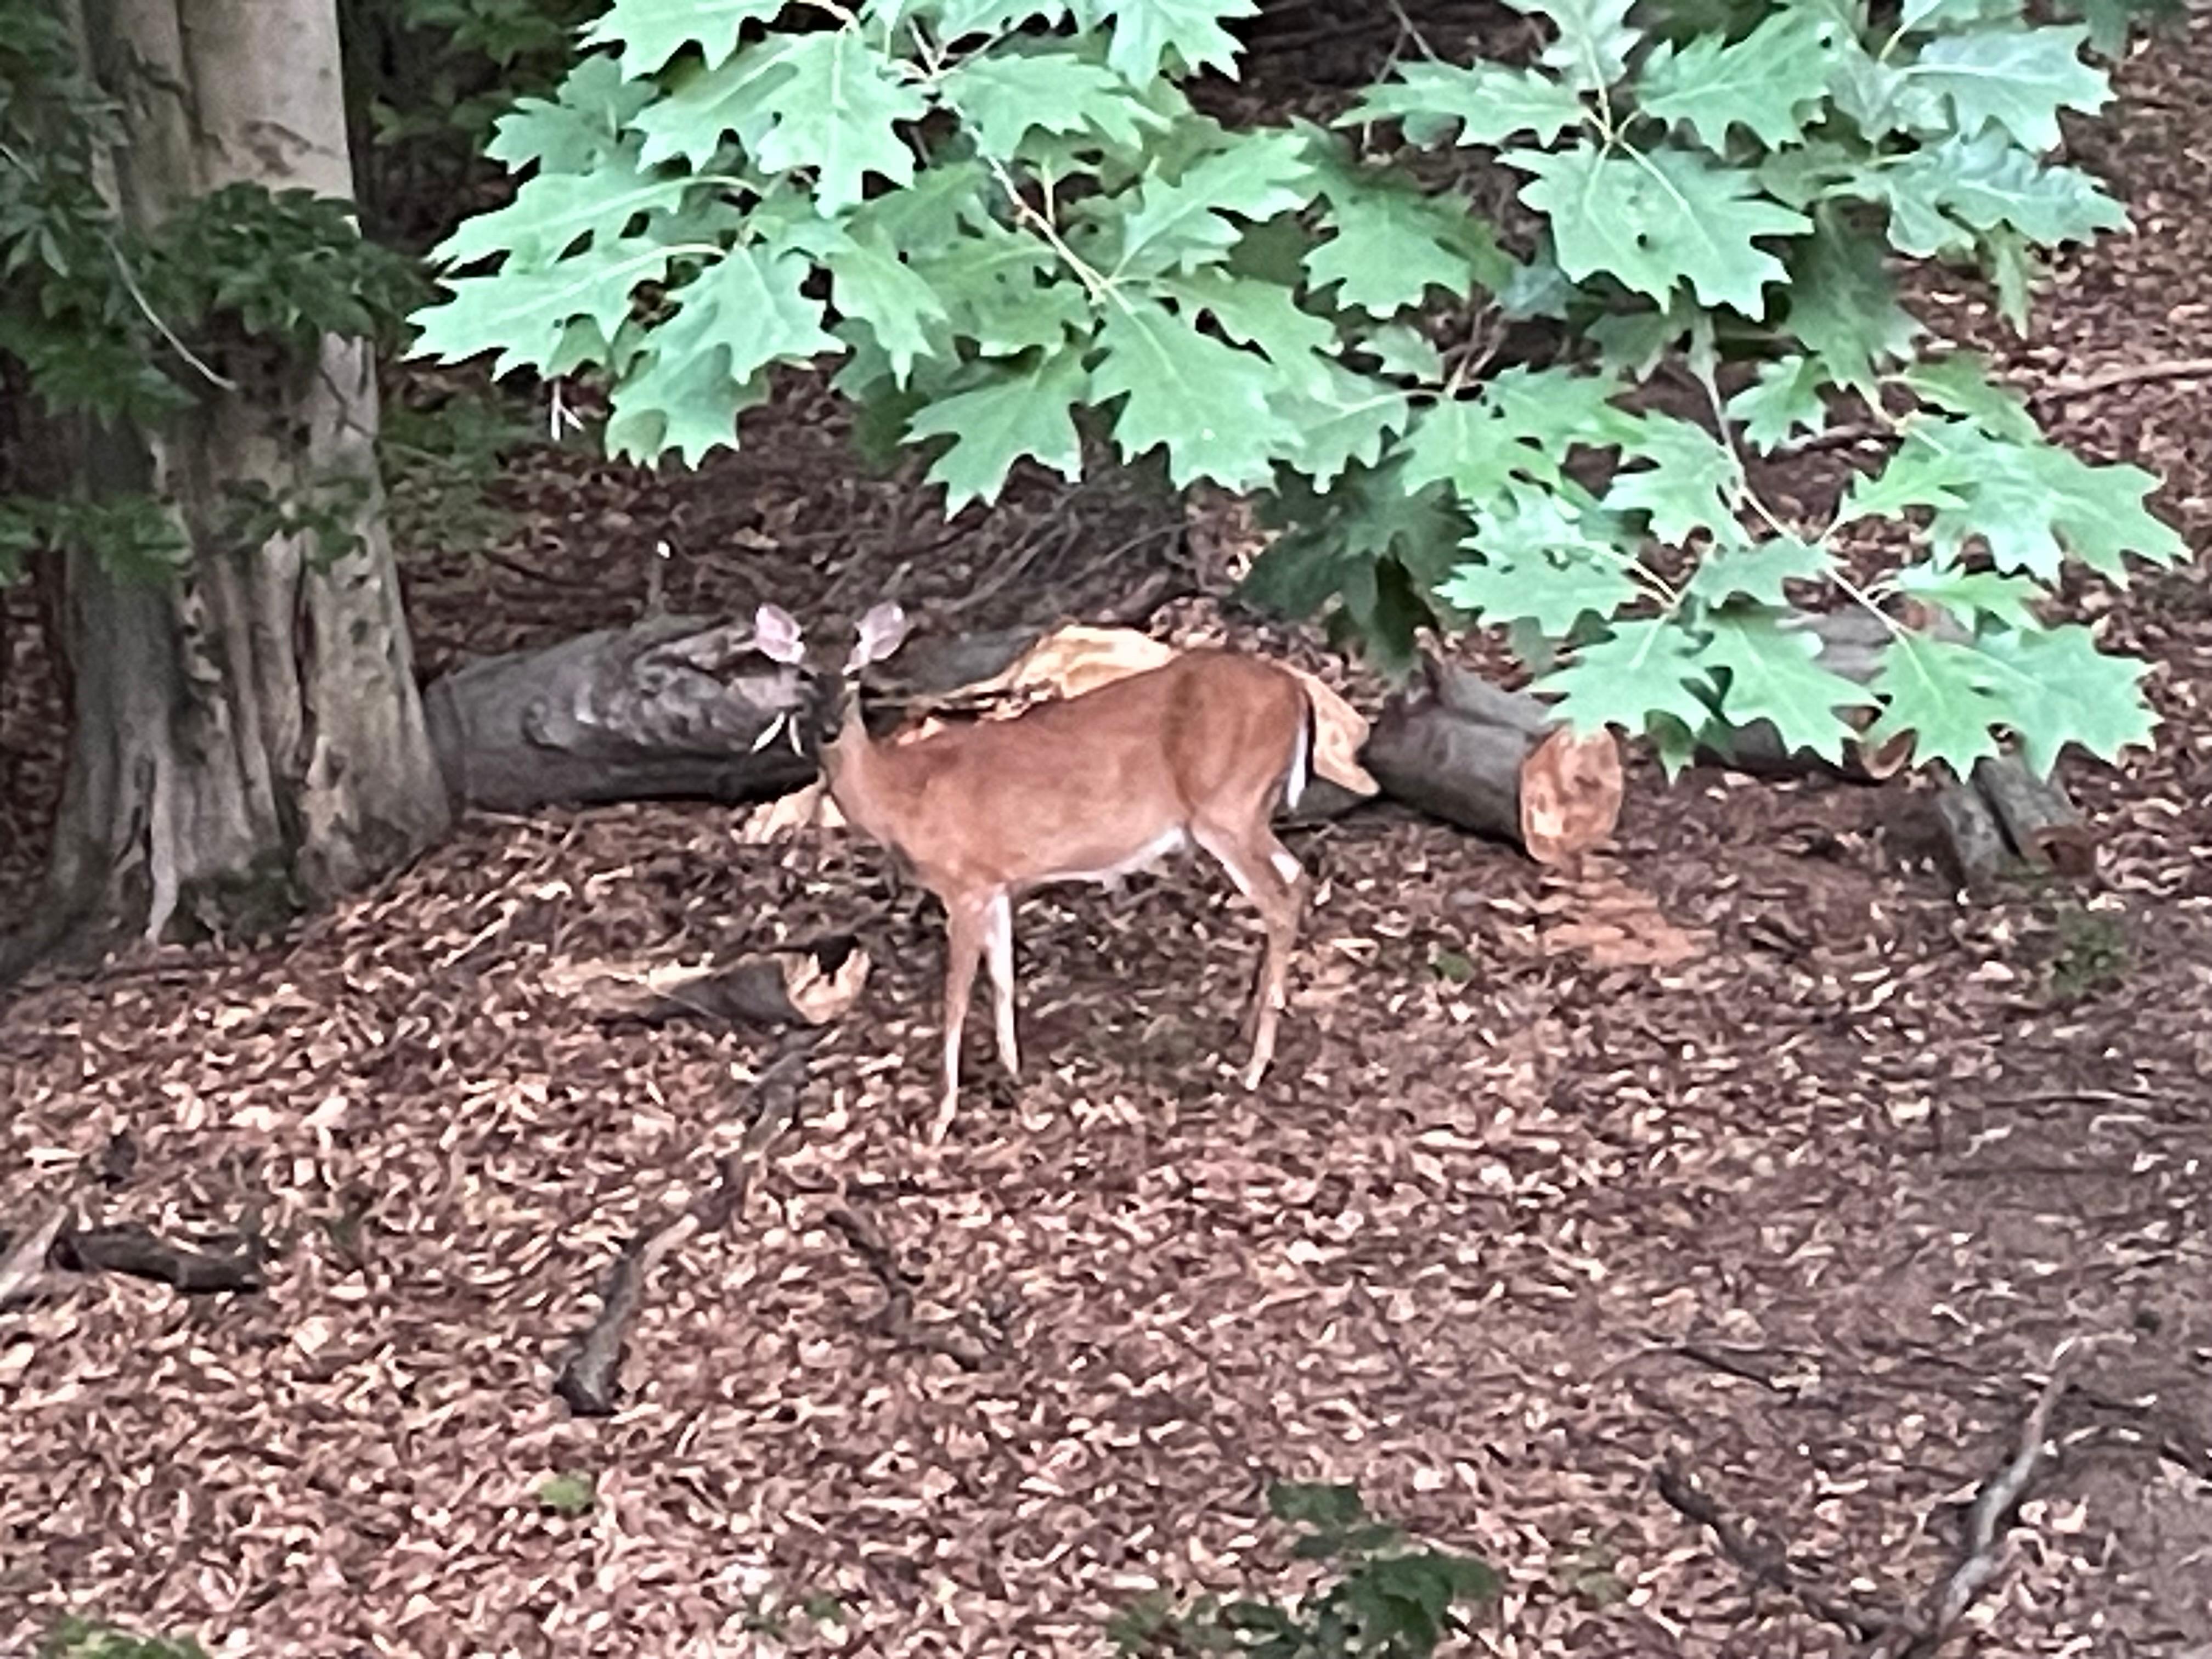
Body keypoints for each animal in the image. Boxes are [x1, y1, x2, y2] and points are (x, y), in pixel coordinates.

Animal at [756, 606, 1309, 1150]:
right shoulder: (997, 882)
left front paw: (941, 1117)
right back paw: (1247, 1027)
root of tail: (1297, 693)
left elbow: (956, 999)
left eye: (854, 675)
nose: (828, 729)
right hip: (1251, 811)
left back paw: (1255, 1066)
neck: (903, 796)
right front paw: (1012, 1071)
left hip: (1226, 807)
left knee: (1279, 901)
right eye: (804, 675)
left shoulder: (963, 884)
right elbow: (1003, 977)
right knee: (1297, 877)